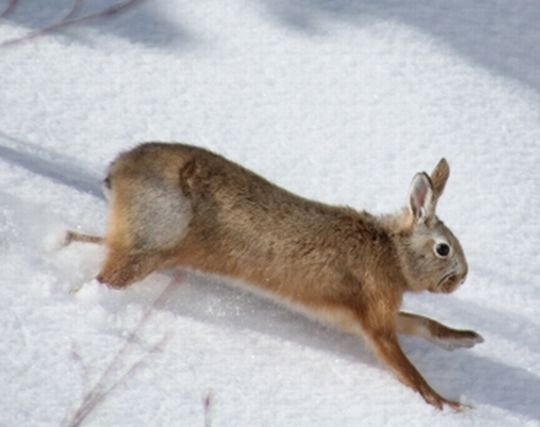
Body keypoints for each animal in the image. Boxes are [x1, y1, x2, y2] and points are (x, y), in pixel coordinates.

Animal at [65, 143, 484, 412]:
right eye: (443, 249)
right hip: (151, 246)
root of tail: (119, 171)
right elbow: (404, 364)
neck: (393, 253)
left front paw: (467, 339)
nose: (462, 279)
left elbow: (422, 323)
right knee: (104, 278)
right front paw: (445, 403)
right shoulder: (374, 319)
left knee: (87, 242)